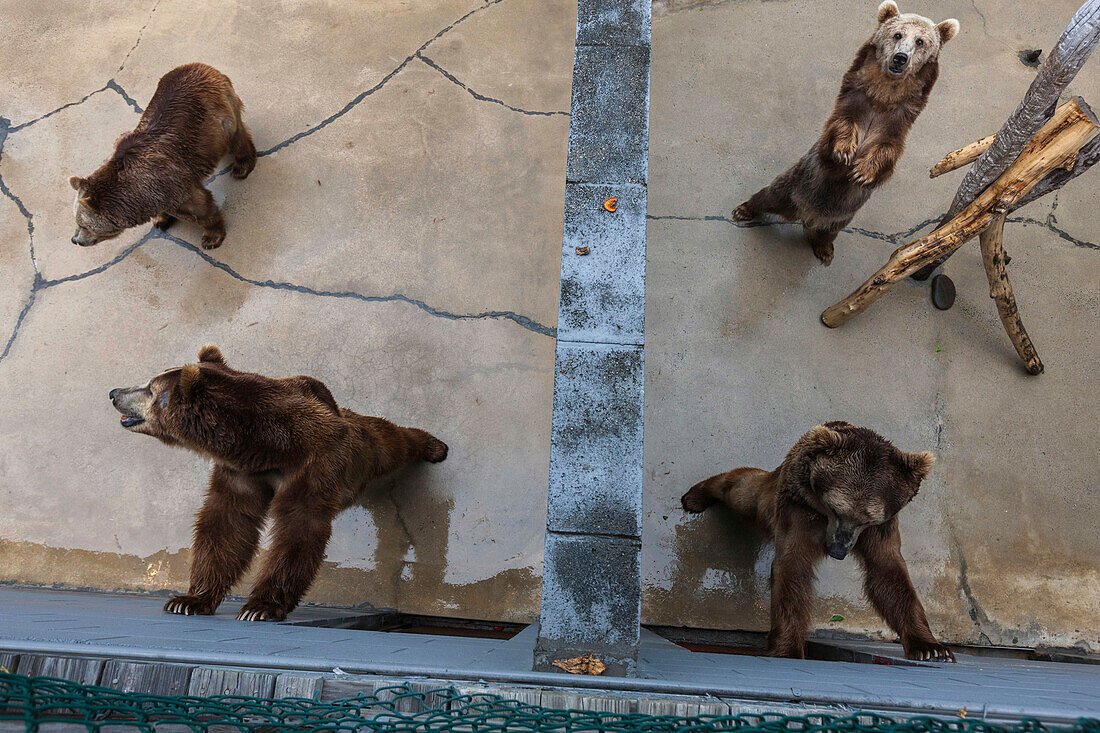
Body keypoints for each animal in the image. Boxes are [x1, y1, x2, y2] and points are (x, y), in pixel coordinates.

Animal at [68, 61, 255, 248]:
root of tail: (201, 65)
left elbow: (199, 208)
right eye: (77, 221)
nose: (75, 240)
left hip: (218, 118)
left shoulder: (170, 185)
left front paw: (211, 237)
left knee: (236, 138)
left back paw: (242, 167)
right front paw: (160, 219)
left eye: (83, 225)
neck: (134, 197)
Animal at [110, 345, 446, 620]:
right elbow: (226, 524)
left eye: (150, 389)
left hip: (358, 449)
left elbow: (298, 528)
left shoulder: (314, 464)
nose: (114, 393)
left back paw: (433, 446)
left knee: (387, 440)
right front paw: (188, 600)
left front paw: (259, 607)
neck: (267, 445)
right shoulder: (240, 473)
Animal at [677, 420, 954, 660]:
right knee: (745, 492)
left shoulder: (882, 528)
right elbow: (794, 567)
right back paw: (695, 496)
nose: (837, 551)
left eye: (867, 520)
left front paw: (931, 648)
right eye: (835, 508)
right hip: (777, 492)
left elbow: (888, 573)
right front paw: (788, 648)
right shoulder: (801, 510)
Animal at [734, 1, 959, 264]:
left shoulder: (897, 123)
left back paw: (824, 250)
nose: (901, 58)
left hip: (841, 217)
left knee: (827, 232)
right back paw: (743, 209)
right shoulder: (853, 103)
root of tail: (805, 215)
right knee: (768, 196)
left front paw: (862, 172)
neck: (883, 98)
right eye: (898, 34)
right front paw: (844, 153)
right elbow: (839, 129)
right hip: (795, 185)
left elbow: (887, 151)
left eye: (921, 41)